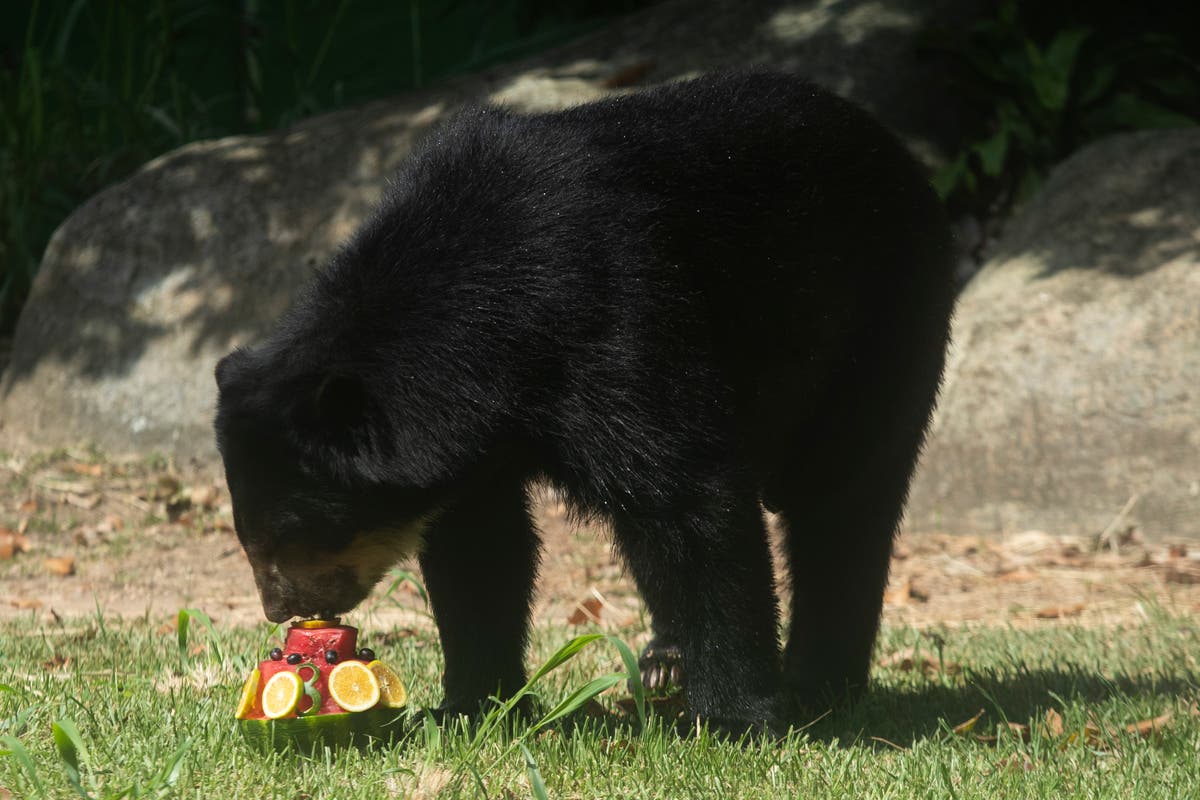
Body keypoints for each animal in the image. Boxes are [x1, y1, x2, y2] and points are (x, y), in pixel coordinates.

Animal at [218, 71, 955, 734]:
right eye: (250, 536)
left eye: (295, 533)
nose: (283, 610)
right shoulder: (472, 437)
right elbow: (480, 546)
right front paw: (470, 707)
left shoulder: (618, 310)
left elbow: (689, 494)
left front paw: (737, 719)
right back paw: (666, 661)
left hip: (879, 321)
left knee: (843, 501)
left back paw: (819, 683)